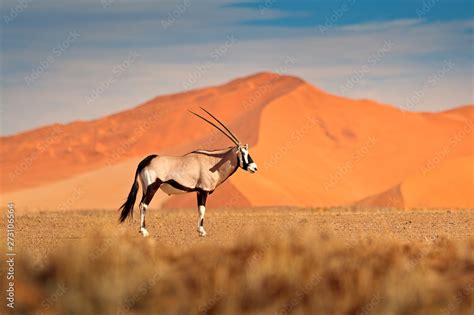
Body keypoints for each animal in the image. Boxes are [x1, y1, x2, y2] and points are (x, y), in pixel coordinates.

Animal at [120, 108, 258, 237]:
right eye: (243, 153)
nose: (254, 168)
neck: (212, 161)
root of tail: (145, 161)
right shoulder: (203, 190)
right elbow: (202, 210)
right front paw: (202, 231)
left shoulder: (198, 191)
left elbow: (199, 209)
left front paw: (199, 230)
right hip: (152, 187)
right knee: (143, 205)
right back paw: (144, 231)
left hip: (145, 188)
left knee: (140, 204)